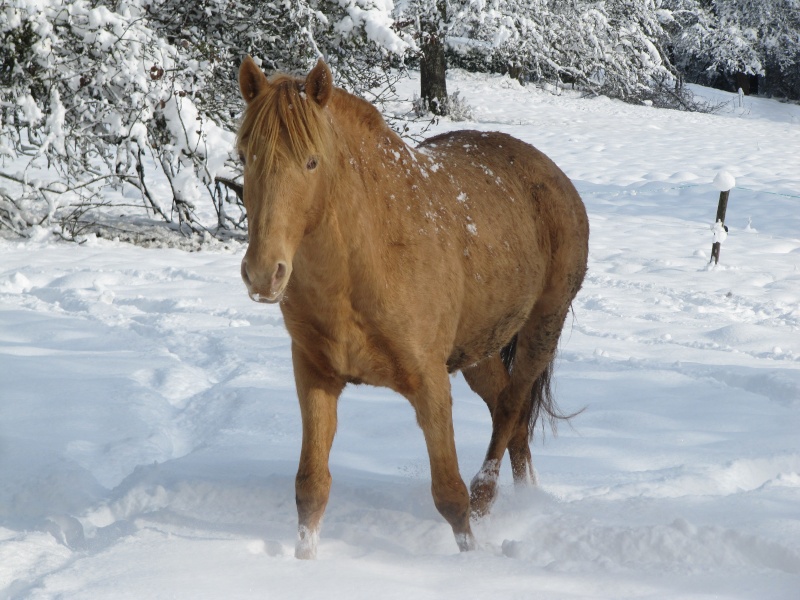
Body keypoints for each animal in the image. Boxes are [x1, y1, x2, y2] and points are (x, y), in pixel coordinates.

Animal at [236, 56, 588, 556]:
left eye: (311, 161)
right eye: (244, 156)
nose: (264, 274)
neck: (366, 260)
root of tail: (552, 174)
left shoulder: (429, 383)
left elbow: (451, 497)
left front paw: (470, 558)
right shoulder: (315, 376)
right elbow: (311, 489)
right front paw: (304, 561)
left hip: (542, 329)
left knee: (510, 409)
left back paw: (490, 496)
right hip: (477, 351)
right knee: (513, 415)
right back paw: (522, 499)